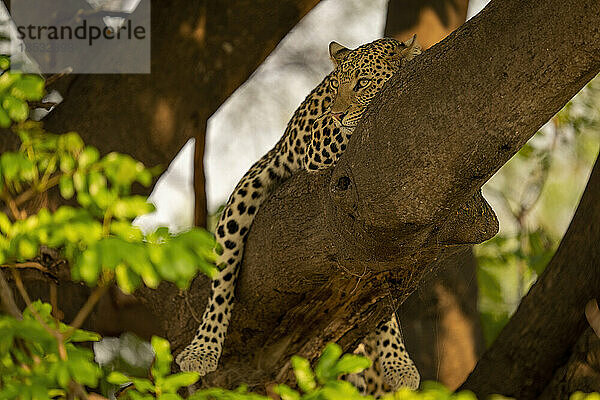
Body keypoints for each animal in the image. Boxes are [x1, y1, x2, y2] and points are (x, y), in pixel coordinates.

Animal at [176, 36, 422, 396]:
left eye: (362, 83)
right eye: (335, 86)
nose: (336, 112)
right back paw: (202, 350)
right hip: (246, 193)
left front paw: (396, 360)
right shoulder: (321, 141)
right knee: (221, 282)